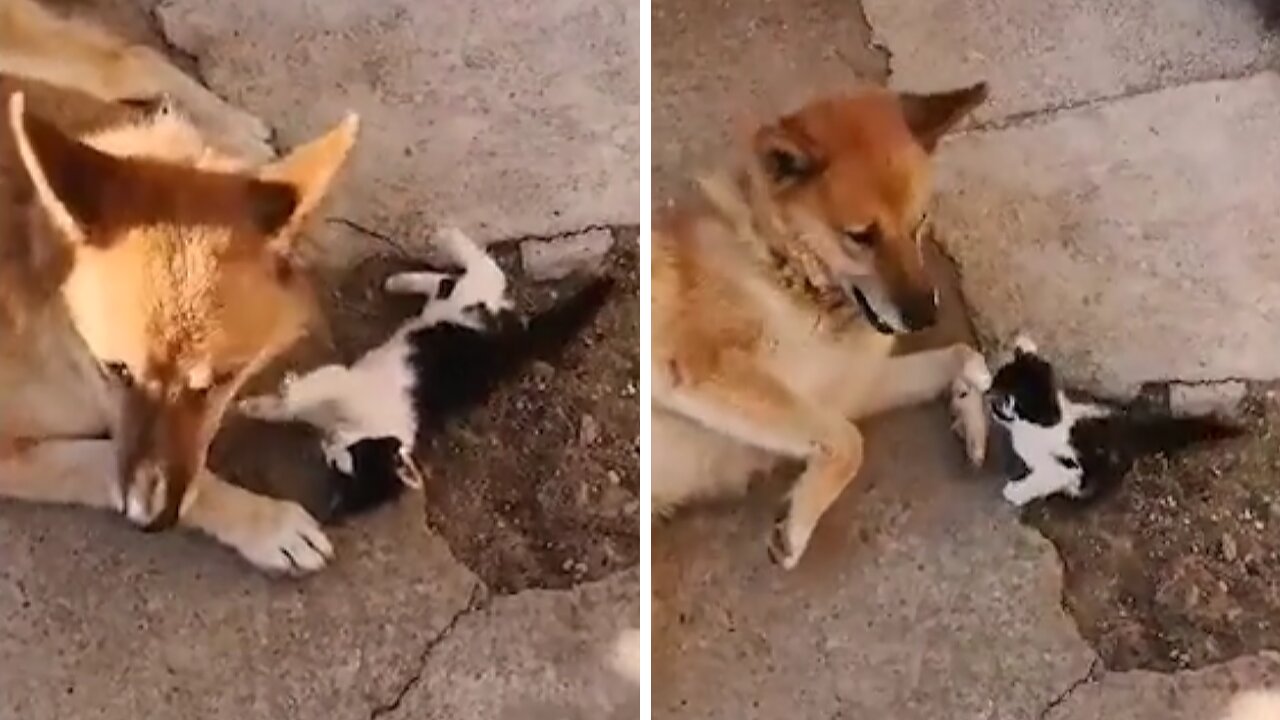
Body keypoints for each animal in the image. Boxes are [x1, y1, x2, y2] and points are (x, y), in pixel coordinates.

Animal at [241, 226, 616, 512]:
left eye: (344, 462)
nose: (327, 446)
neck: (360, 423)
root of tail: (518, 338)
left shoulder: (345, 383)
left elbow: (306, 393)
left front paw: (271, 400)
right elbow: (296, 400)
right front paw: (264, 403)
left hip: (469, 304)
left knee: (469, 277)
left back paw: (422, 265)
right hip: (468, 304)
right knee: (474, 273)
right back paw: (430, 255)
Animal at [655, 82, 993, 566]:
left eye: (920, 222)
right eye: (861, 237)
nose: (925, 316)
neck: (787, 271)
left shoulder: (845, 390)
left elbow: (960, 354)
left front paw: (973, 413)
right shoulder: (698, 367)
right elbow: (850, 442)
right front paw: (796, 525)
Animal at [977, 333, 1239, 504]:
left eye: (1004, 402)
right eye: (996, 383)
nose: (988, 395)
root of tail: (1128, 428)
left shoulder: (1071, 465)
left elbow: (1048, 476)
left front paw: (1015, 492)